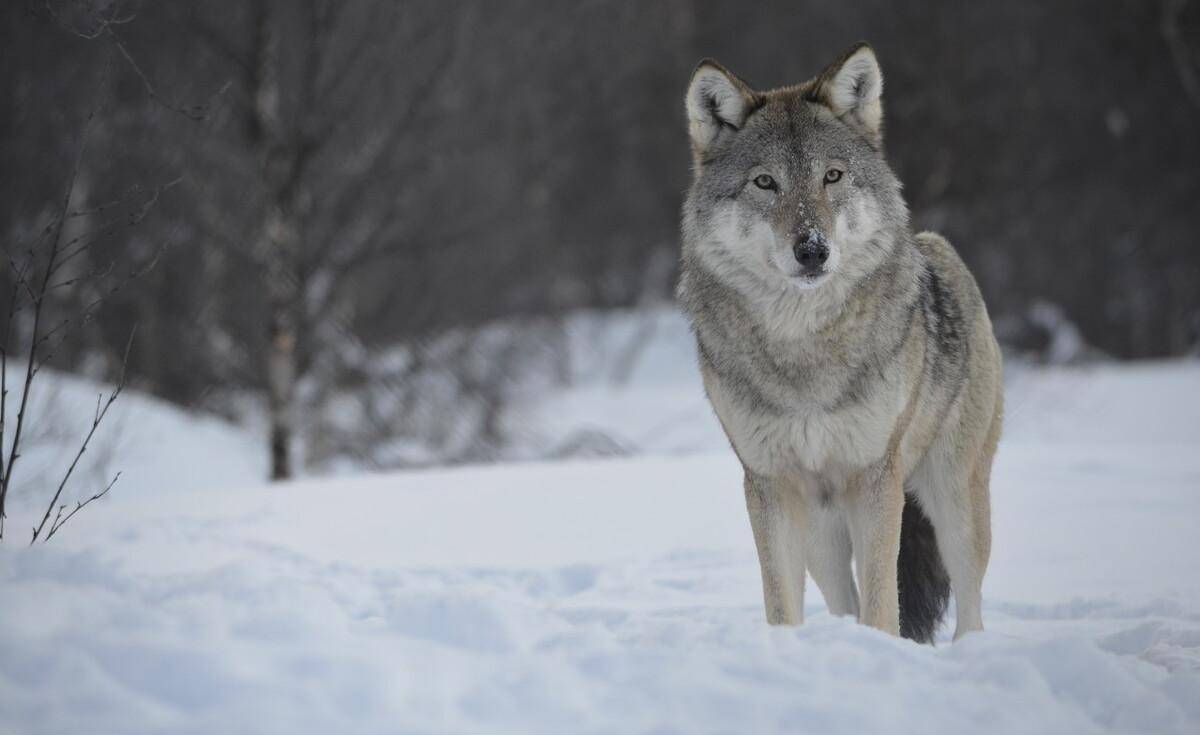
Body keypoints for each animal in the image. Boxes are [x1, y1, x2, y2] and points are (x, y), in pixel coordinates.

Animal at [676, 42, 1003, 643]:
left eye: (832, 176)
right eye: (765, 183)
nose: (812, 249)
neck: (804, 350)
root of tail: (937, 247)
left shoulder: (874, 478)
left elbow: (882, 605)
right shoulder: (770, 485)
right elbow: (783, 605)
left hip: (953, 499)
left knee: (970, 606)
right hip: (821, 536)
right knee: (842, 601)